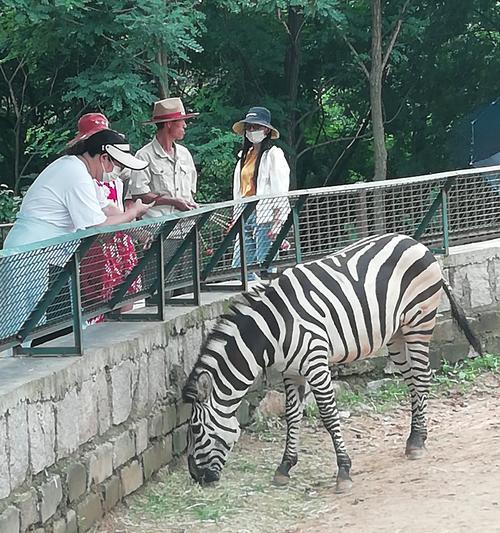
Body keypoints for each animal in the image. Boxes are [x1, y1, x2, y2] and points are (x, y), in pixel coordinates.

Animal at [182, 233, 482, 490]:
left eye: (196, 429)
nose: (196, 477)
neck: (273, 330)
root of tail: (417, 243)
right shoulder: (290, 371)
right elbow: (292, 414)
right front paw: (284, 468)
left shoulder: (315, 362)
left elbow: (327, 414)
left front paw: (343, 470)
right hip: (396, 334)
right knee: (411, 380)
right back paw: (415, 438)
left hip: (419, 322)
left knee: (422, 377)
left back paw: (418, 442)